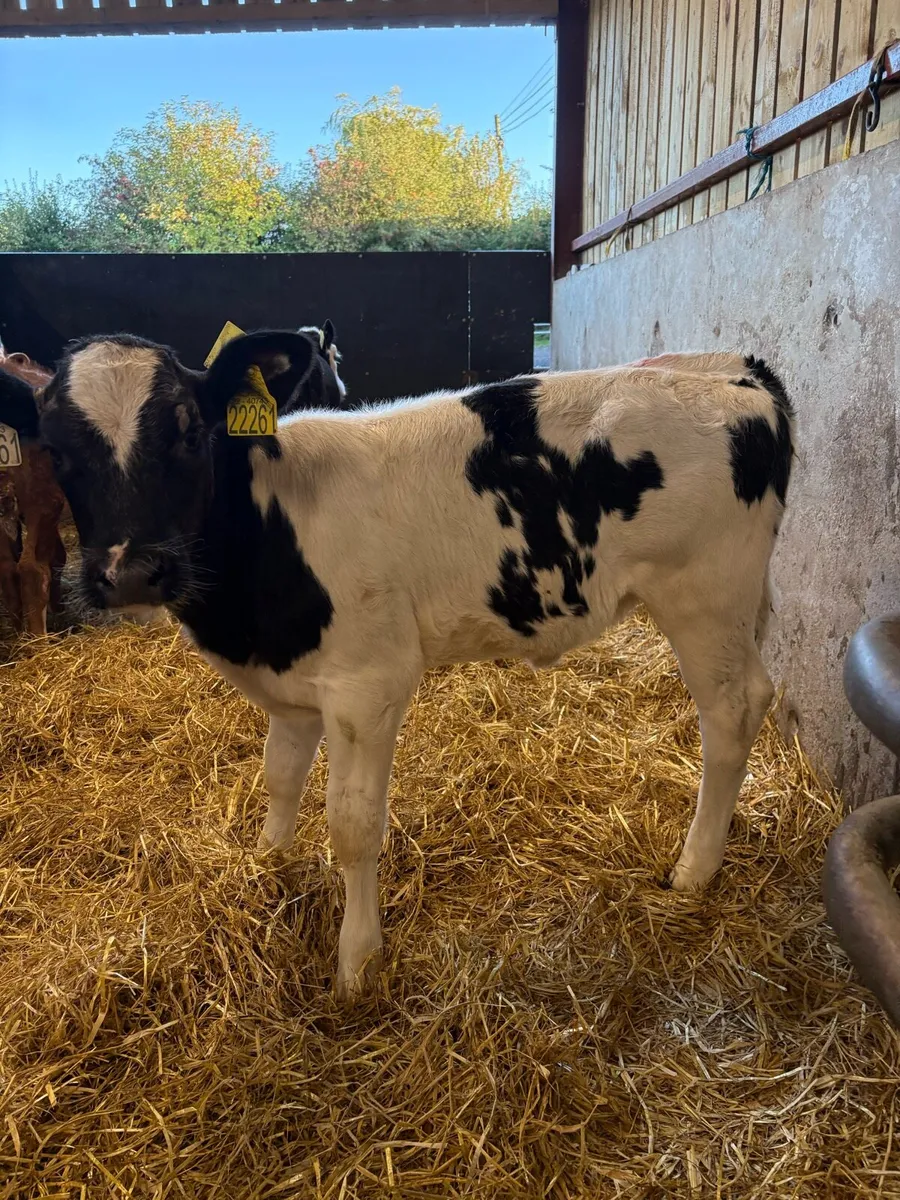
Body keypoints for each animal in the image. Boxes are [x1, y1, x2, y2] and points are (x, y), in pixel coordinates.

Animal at [1, 333, 794, 1001]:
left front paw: (357, 962)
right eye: (58, 450)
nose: (129, 572)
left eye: (190, 432)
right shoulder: (294, 685)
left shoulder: (368, 685)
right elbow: (279, 779)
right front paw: (266, 867)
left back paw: (693, 870)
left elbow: (353, 827)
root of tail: (730, 368)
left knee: (736, 710)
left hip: (703, 594)